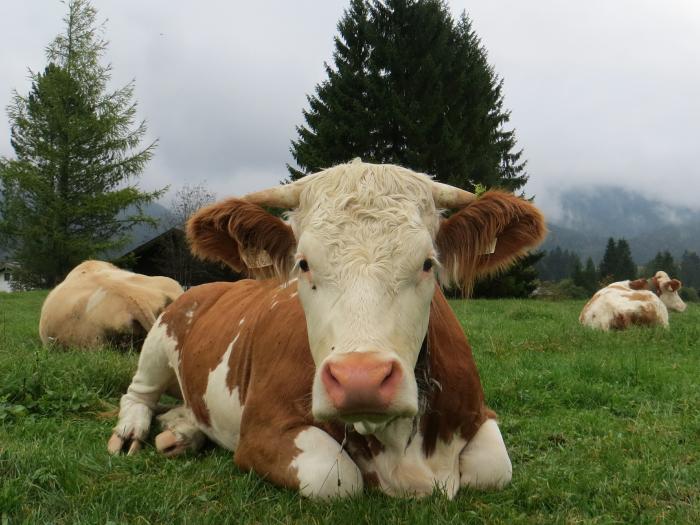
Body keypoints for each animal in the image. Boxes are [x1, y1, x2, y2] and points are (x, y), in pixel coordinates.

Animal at [109, 161, 548, 500]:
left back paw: (182, 431)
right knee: (138, 395)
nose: (361, 379)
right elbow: (334, 477)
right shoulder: (261, 433)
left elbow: (494, 467)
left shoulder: (480, 415)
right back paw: (131, 432)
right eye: (303, 263)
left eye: (427, 263)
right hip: (159, 341)